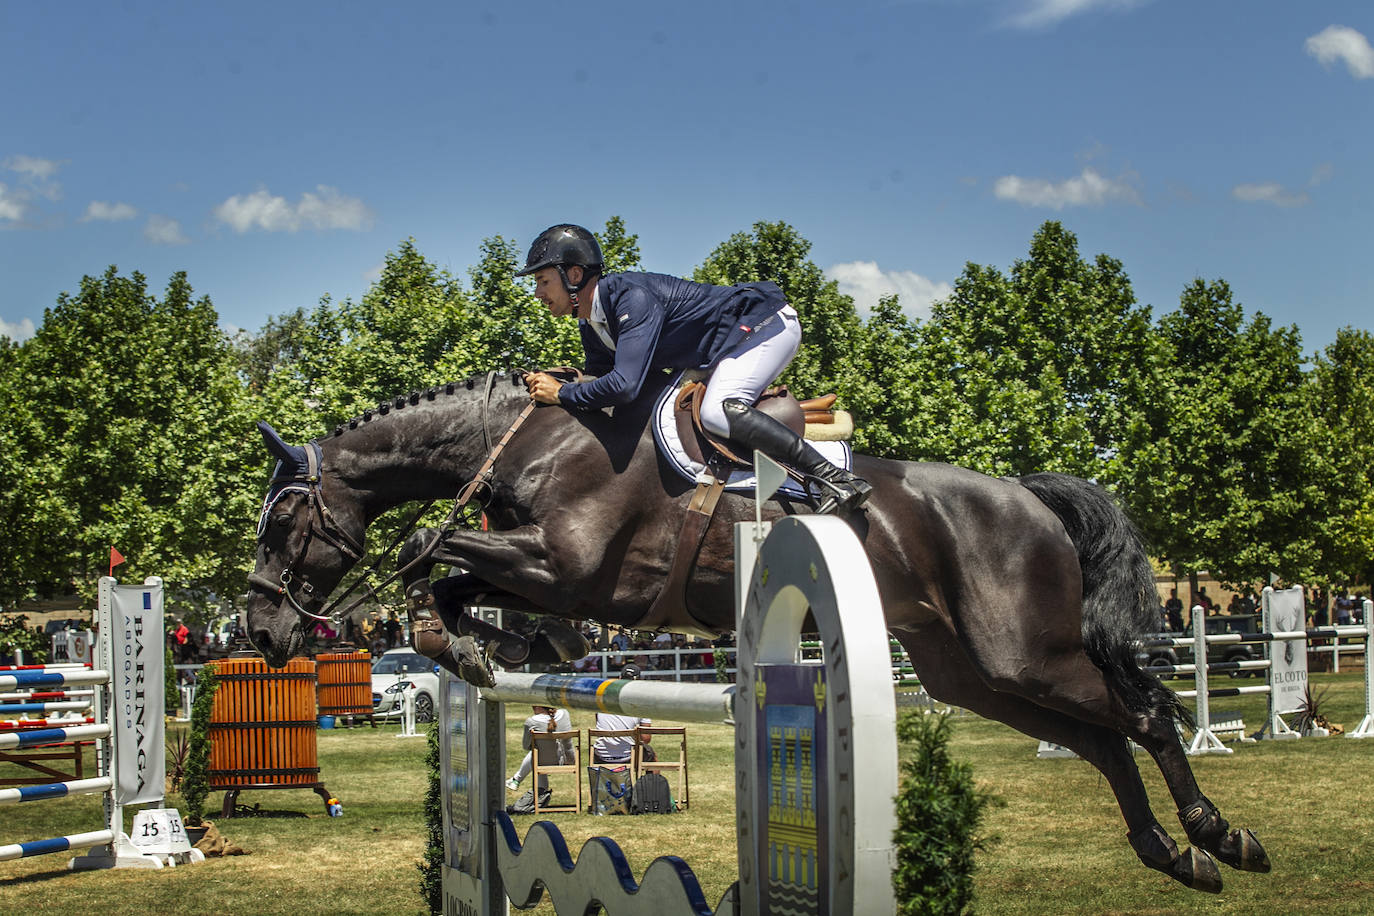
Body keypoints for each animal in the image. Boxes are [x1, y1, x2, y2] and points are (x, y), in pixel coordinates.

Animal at [244, 368, 1264, 889]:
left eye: (282, 516)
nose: (259, 631)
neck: (530, 443)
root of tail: (1027, 495)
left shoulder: (572, 566)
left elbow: (427, 549)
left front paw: (489, 640)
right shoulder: (547, 568)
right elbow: (450, 575)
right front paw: (505, 647)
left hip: (1027, 651)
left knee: (1142, 716)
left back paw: (1219, 838)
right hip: (971, 672)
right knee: (1100, 739)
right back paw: (1172, 857)